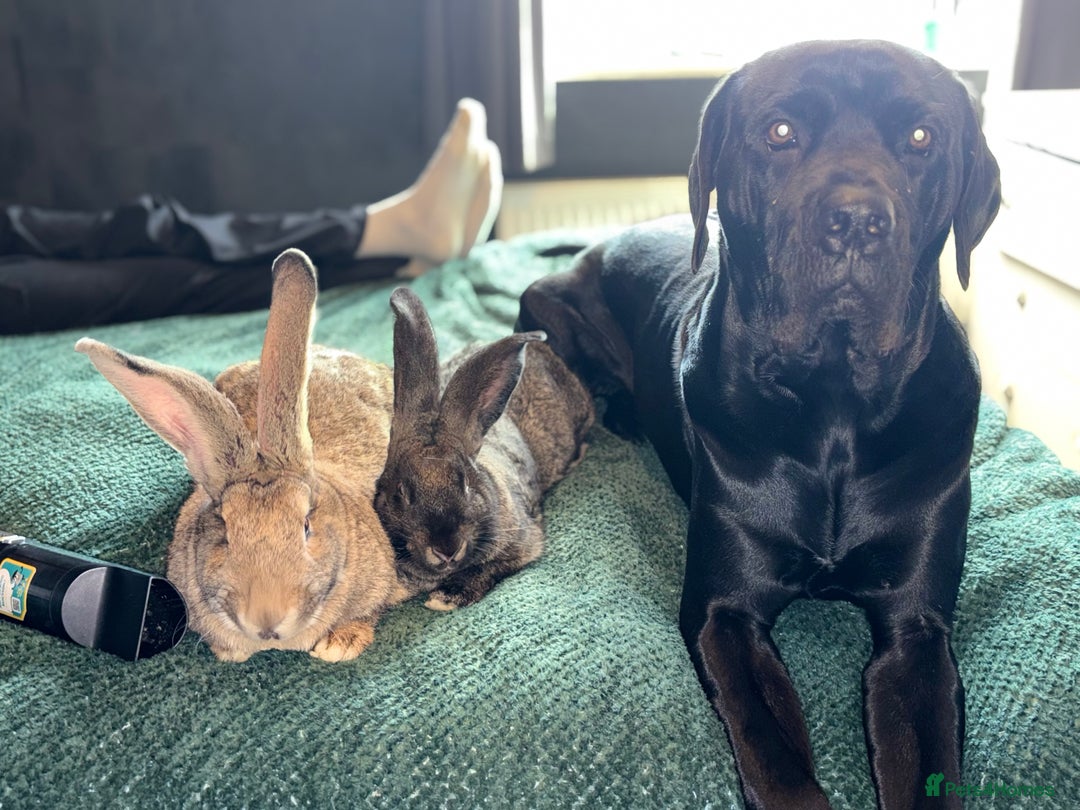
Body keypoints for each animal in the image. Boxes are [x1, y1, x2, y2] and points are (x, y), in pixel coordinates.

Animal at [75, 248, 413, 663]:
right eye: (224, 530)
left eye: (306, 526)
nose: (266, 620)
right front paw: (229, 651)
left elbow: (371, 610)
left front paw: (338, 645)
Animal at [373, 287, 594, 611]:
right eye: (400, 494)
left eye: (466, 484)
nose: (446, 549)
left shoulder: (526, 543)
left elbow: (491, 568)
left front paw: (444, 599)